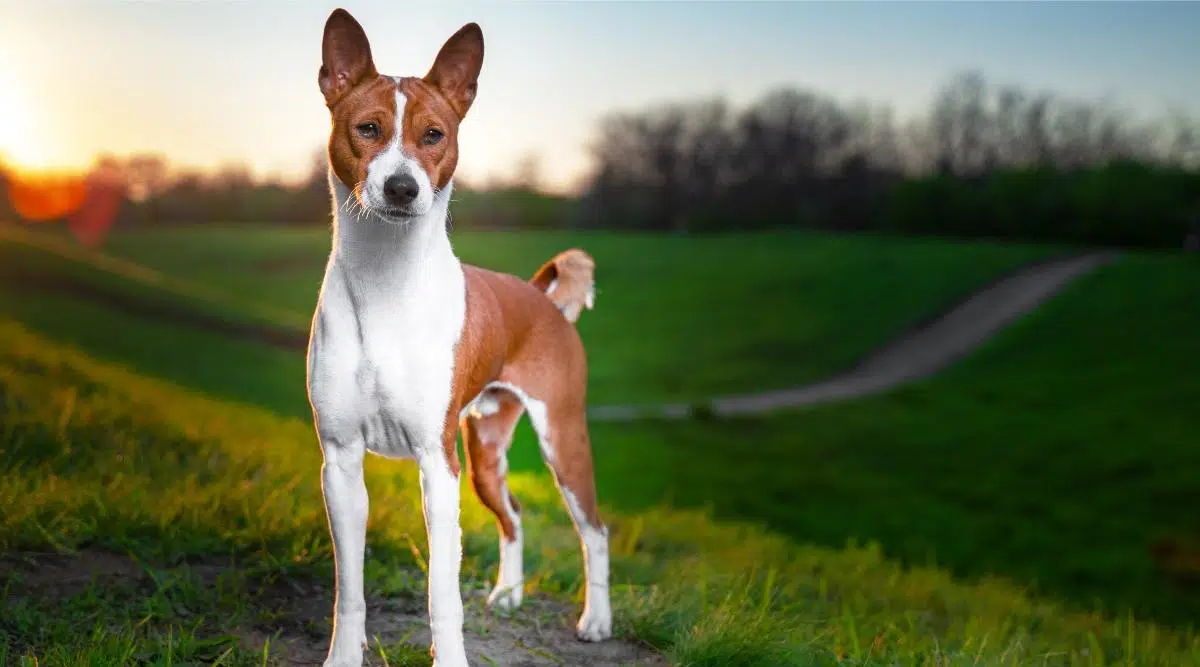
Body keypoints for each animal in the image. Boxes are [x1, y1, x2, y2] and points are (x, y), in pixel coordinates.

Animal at [304, 9, 614, 667]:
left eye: (434, 135)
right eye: (367, 129)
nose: (402, 188)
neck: (385, 284)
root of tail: (543, 300)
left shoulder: (435, 463)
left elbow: (442, 597)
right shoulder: (340, 460)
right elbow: (350, 588)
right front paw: (344, 654)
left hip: (561, 441)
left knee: (595, 530)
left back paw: (596, 620)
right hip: (486, 455)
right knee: (515, 516)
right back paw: (508, 594)